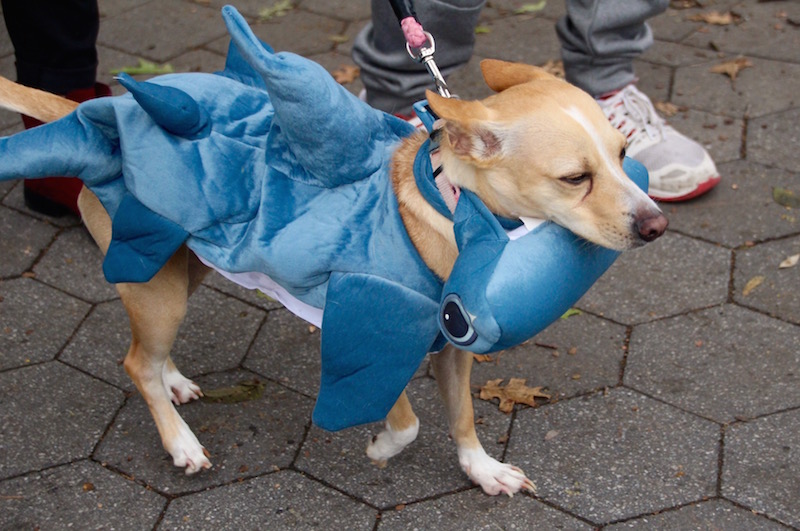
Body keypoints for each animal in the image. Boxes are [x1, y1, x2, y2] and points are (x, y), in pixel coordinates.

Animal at [0, 23, 664, 498]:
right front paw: (381, 450)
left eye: (622, 151)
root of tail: (99, 113)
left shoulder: (451, 351)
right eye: (575, 178)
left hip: (186, 269)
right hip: (155, 283)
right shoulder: (366, 330)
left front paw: (482, 470)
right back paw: (180, 442)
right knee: (136, 361)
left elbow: (462, 419)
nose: (656, 224)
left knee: (150, 355)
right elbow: (405, 419)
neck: (452, 213)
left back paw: (175, 381)